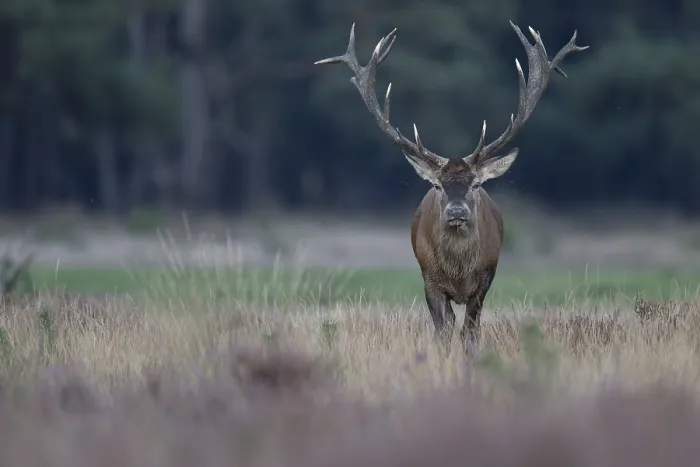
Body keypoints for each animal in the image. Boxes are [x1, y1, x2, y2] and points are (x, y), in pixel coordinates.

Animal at [315, 21, 588, 356]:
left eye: (477, 183)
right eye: (436, 184)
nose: (457, 211)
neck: (458, 271)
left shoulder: (485, 278)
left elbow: (470, 330)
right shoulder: (429, 280)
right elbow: (442, 331)